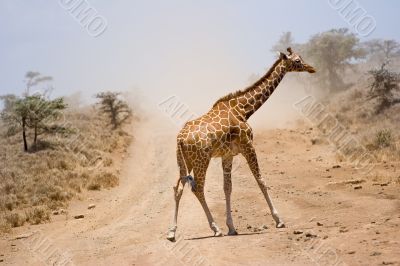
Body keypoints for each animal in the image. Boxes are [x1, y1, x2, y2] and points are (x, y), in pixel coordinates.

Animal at [166, 47, 316, 241]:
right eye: (297, 60)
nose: (311, 68)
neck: (244, 109)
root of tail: (180, 139)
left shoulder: (227, 155)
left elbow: (227, 188)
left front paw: (232, 227)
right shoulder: (248, 146)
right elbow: (260, 180)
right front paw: (279, 220)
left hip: (185, 161)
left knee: (177, 187)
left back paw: (172, 232)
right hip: (201, 160)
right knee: (197, 188)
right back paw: (215, 228)